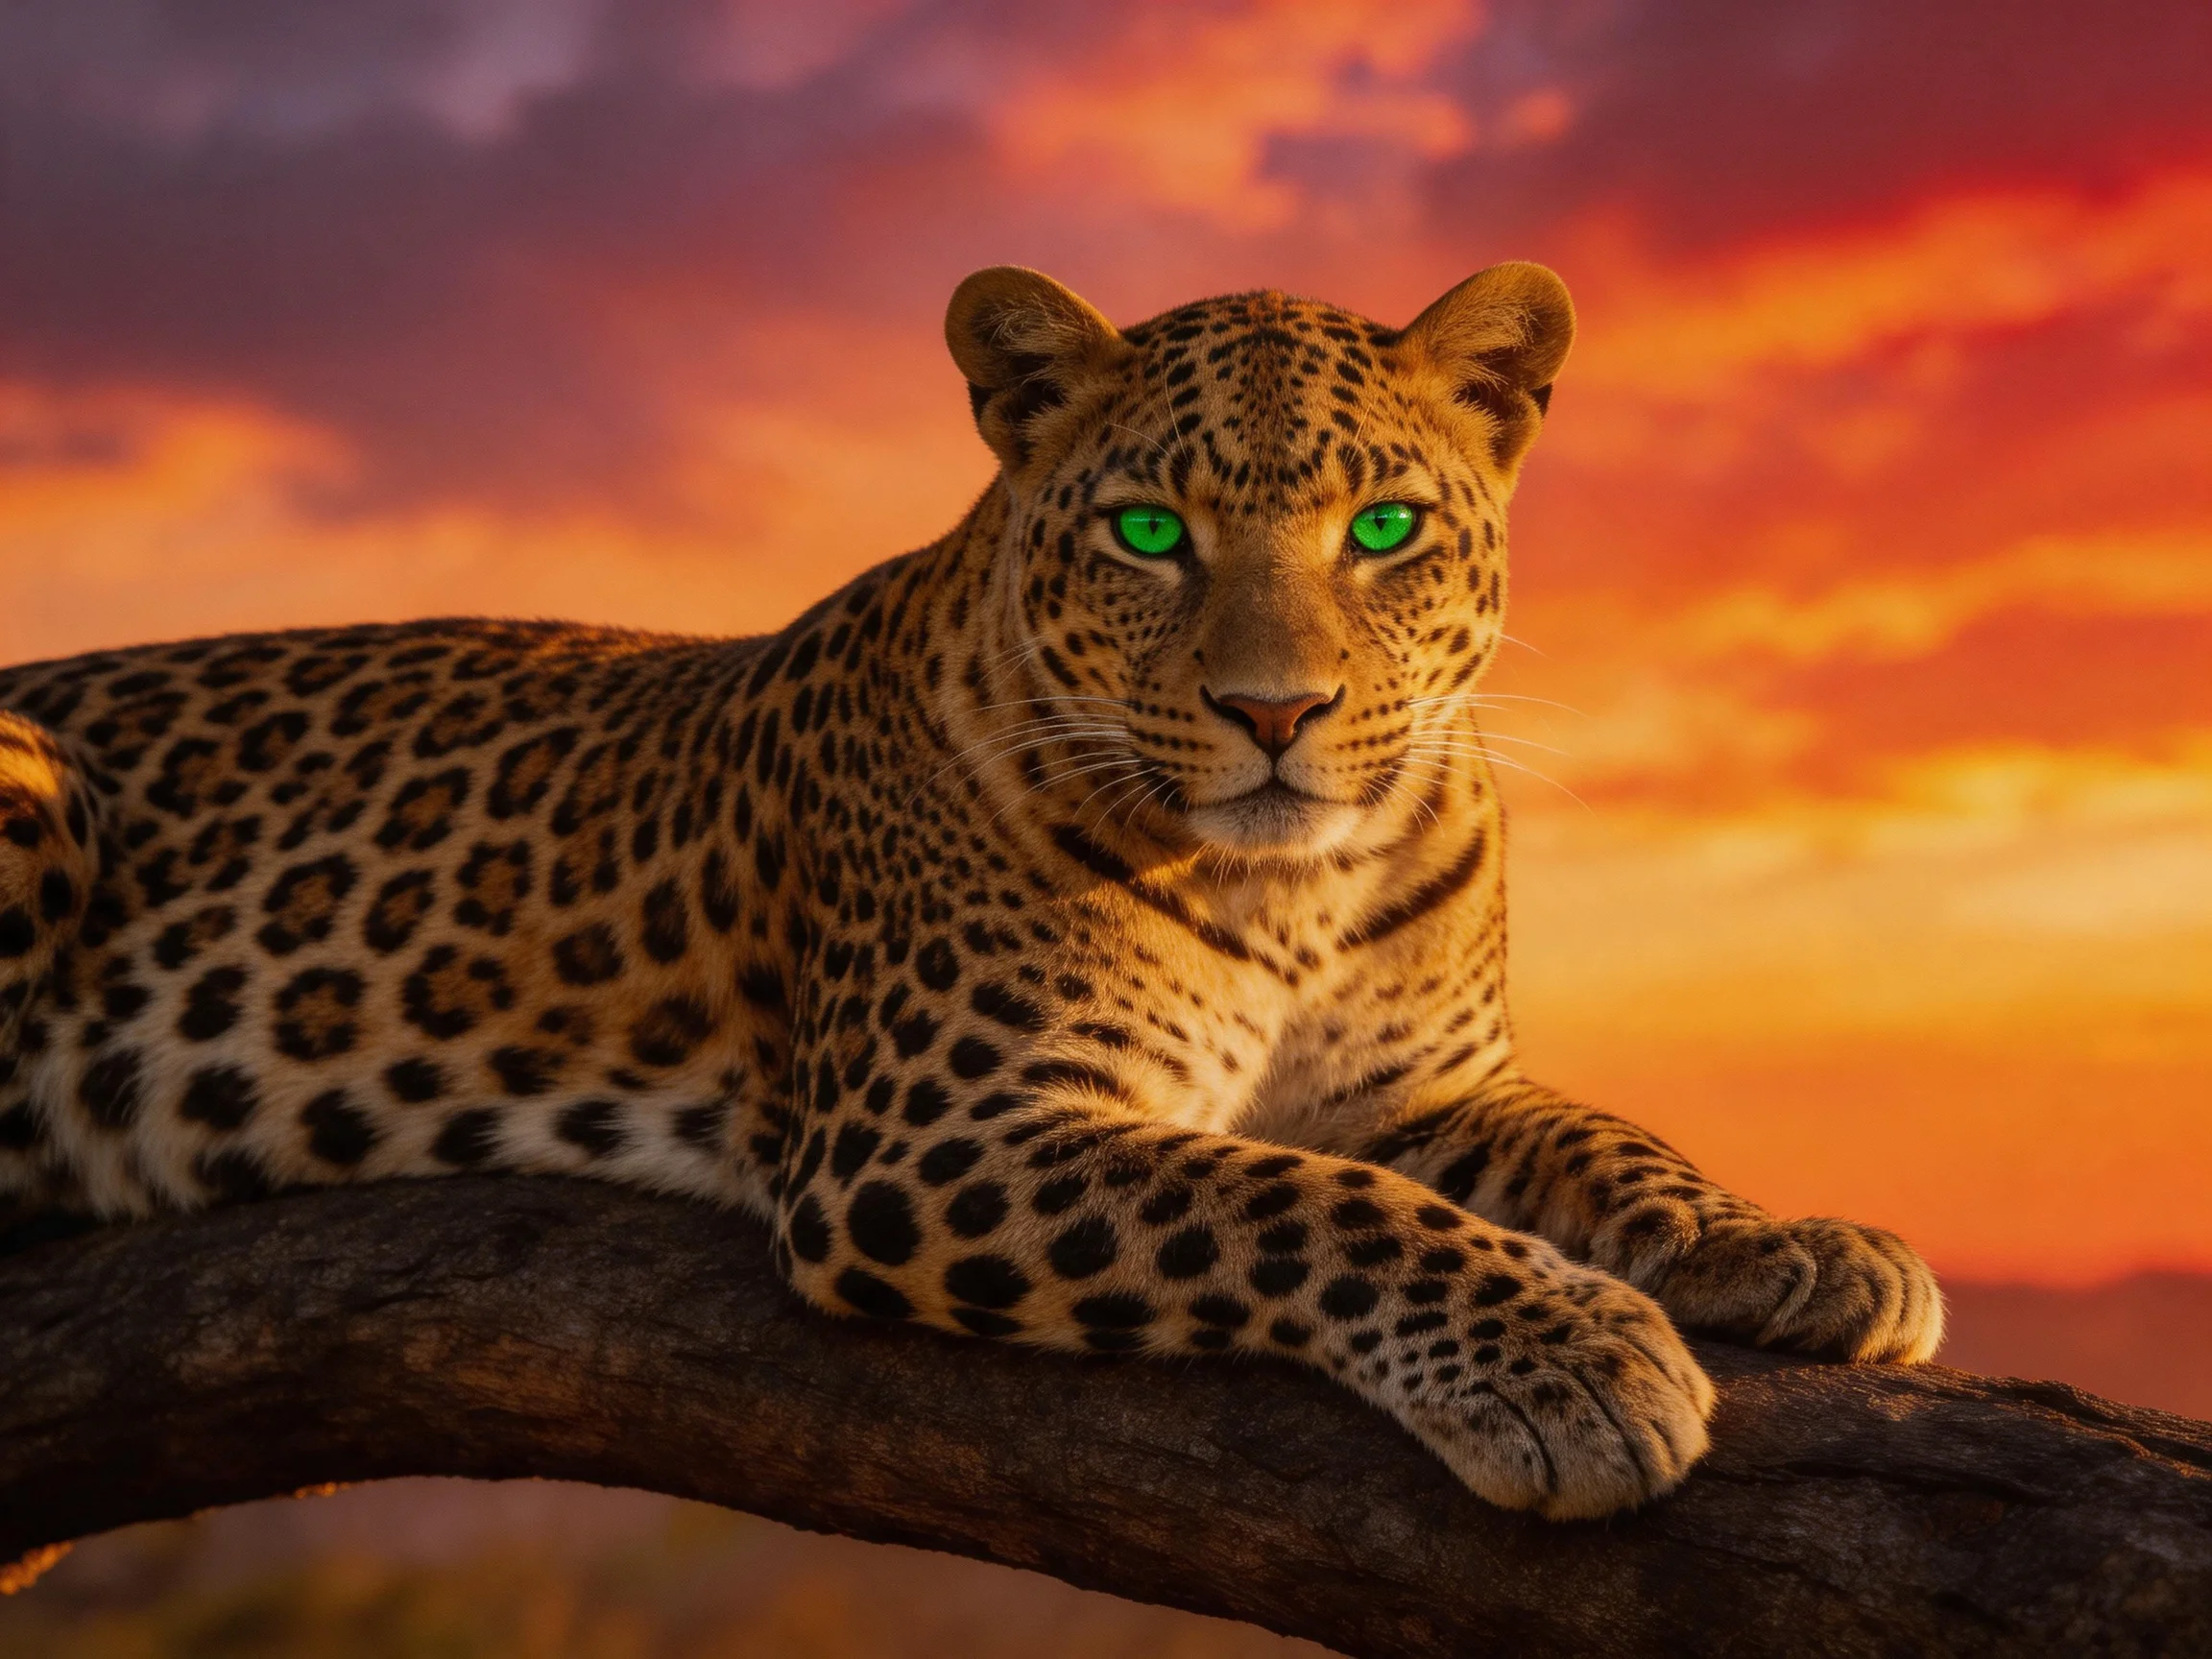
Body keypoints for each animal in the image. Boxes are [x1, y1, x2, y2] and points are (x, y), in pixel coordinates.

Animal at [0, 261, 1943, 1522]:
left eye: (1383, 528)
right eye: (1148, 532)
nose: (1275, 712)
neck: (1296, 893)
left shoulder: (1429, 1091)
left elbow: (1601, 1139)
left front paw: (1788, 1243)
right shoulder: (934, 1135)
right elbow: (1302, 1202)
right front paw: (1566, 1359)